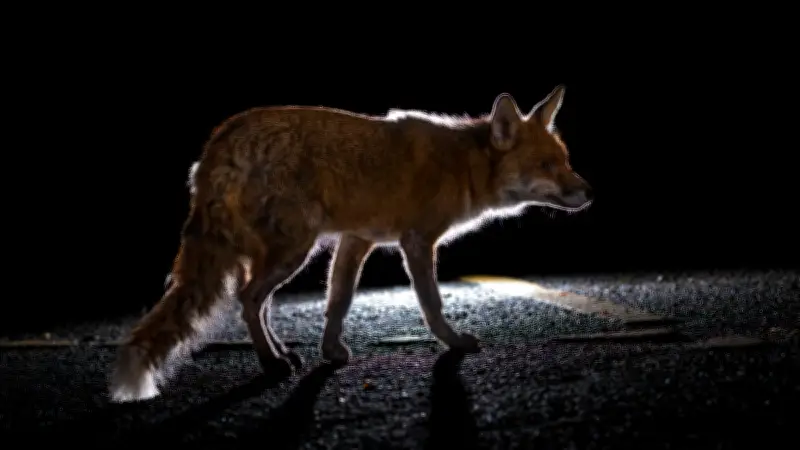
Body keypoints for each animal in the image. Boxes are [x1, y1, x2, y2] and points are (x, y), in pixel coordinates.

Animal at [109, 85, 593, 403]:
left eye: (565, 161)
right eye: (546, 166)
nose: (589, 193)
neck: (461, 165)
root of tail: (218, 143)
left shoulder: (356, 239)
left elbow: (338, 301)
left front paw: (330, 353)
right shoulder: (416, 241)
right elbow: (431, 304)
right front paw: (454, 343)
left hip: (275, 254)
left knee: (257, 304)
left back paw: (280, 353)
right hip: (294, 250)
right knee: (248, 299)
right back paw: (271, 364)